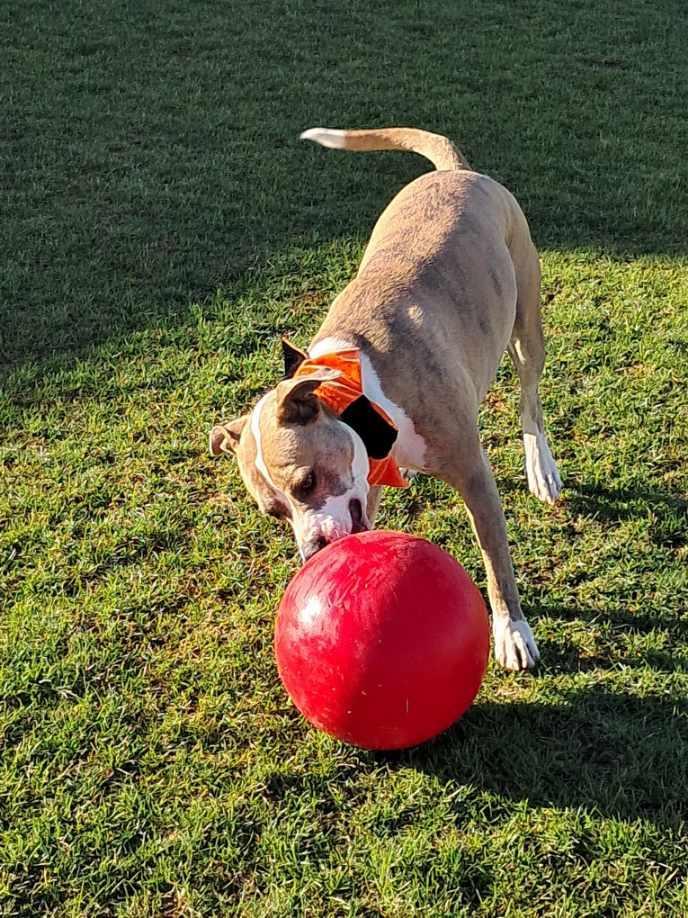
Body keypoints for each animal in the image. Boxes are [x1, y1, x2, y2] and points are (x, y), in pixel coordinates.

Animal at [208, 129, 560, 672]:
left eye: (306, 482)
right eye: (274, 512)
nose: (313, 552)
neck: (363, 390)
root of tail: (455, 171)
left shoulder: (473, 474)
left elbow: (495, 557)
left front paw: (512, 632)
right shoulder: (364, 490)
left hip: (526, 324)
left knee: (530, 400)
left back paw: (541, 467)